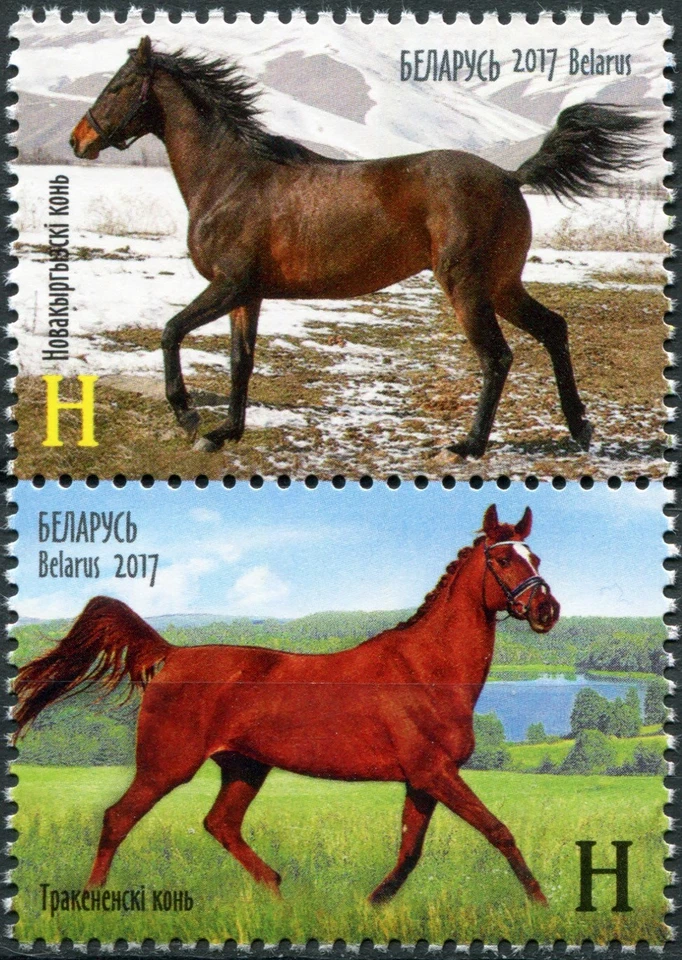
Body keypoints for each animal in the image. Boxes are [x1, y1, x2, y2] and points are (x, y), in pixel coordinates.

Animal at [15, 505, 560, 904]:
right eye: (503, 560)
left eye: (536, 558)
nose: (547, 610)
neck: (426, 670)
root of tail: (171, 654)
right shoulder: (435, 773)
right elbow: (498, 831)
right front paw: (539, 904)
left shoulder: (424, 780)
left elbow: (410, 850)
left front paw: (373, 903)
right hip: (167, 765)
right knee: (118, 818)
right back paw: (94, 897)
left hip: (244, 767)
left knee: (220, 824)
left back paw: (277, 893)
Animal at [70, 38, 649, 457]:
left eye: (119, 85)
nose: (79, 140)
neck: (231, 178)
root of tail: (510, 176)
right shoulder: (247, 295)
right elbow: (241, 362)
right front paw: (223, 432)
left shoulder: (228, 285)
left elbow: (170, 332)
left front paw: (188, 414)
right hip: (502, 286)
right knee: (553, 329)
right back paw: (580, 428)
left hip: (467, 287)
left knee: (497, 357)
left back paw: (468, 445)